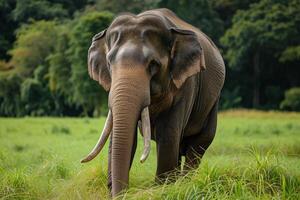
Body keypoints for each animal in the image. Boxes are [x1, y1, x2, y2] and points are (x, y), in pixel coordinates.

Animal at [81, 8, 225, 198]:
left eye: (153, 64)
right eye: (110, 62)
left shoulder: (186, 85)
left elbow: (168, 136)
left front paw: (162, 191)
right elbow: (124, 138)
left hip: (212, 103)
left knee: (196, 147)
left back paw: (186, 183)